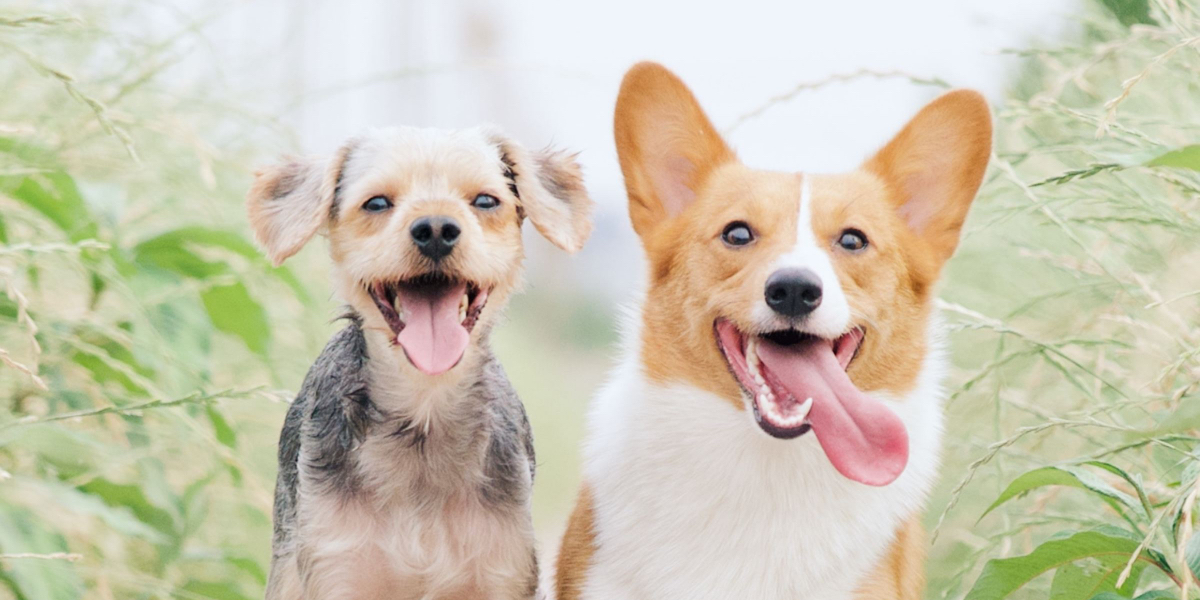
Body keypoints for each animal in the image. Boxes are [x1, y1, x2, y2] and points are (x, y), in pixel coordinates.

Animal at [246, 124, 592, 597]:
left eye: (486, 201)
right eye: (376, 203)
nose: (436, 228)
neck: (422, 417)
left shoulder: (501, 571)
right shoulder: (338, 564)